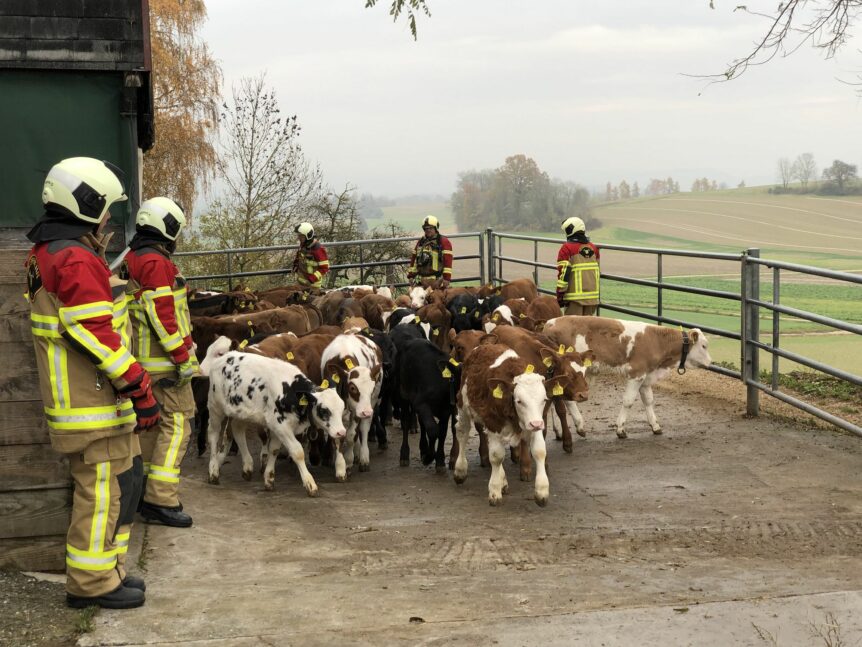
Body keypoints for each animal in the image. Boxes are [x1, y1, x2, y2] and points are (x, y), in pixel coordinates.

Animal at [201, 340, 350, 496]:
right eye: (324, 410)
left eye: (341, 408)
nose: (341, 432)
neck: (289, 390)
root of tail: (225, 356)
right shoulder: (281, 426)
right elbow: (297, 452)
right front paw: (310, 484)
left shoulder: (276, 427)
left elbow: (273, 449)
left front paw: (269, 479)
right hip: (215, 408)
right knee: (213, 435)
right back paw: (213, 471)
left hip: (241, 411)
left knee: (237, 430)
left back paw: (247, 466)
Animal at [456, 344, 552, 506]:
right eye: (519, 401)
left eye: (544, 399)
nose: (536, 424)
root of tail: (482, 347)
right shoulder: (493, 423)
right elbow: (496, 456)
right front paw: (494, 492)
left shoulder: (535, 423)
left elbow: (539, 451)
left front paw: (541, 492)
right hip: (463, 405)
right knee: (463, 433)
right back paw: (460, 471)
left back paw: (503, 481)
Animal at [544, 316, 712, 438]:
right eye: (704, 346)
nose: (711, 362)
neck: (656, 341)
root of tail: (551, 322)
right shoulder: (636, 374)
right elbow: (628, 401)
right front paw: (620, 429)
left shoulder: (646, 378)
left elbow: (648, 401)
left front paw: (655, 425)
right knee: (568, 400)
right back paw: (579, 426)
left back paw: (559, 431)